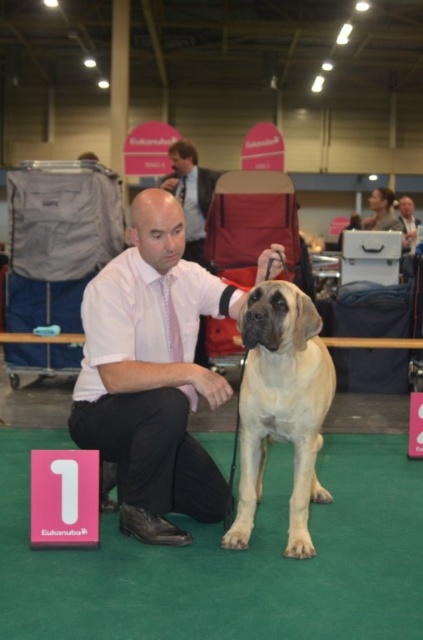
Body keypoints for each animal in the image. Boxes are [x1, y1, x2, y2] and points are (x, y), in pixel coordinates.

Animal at [222, 282, 338, 560]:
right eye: (253, 299)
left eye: (280, 304)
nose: (253, 315)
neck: (278, 367)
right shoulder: (250, 435)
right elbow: (245, 491)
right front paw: (239, 532)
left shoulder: (305, 442)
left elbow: (298, 499)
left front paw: (299, 541)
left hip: (316, 437)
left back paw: (316, 490)